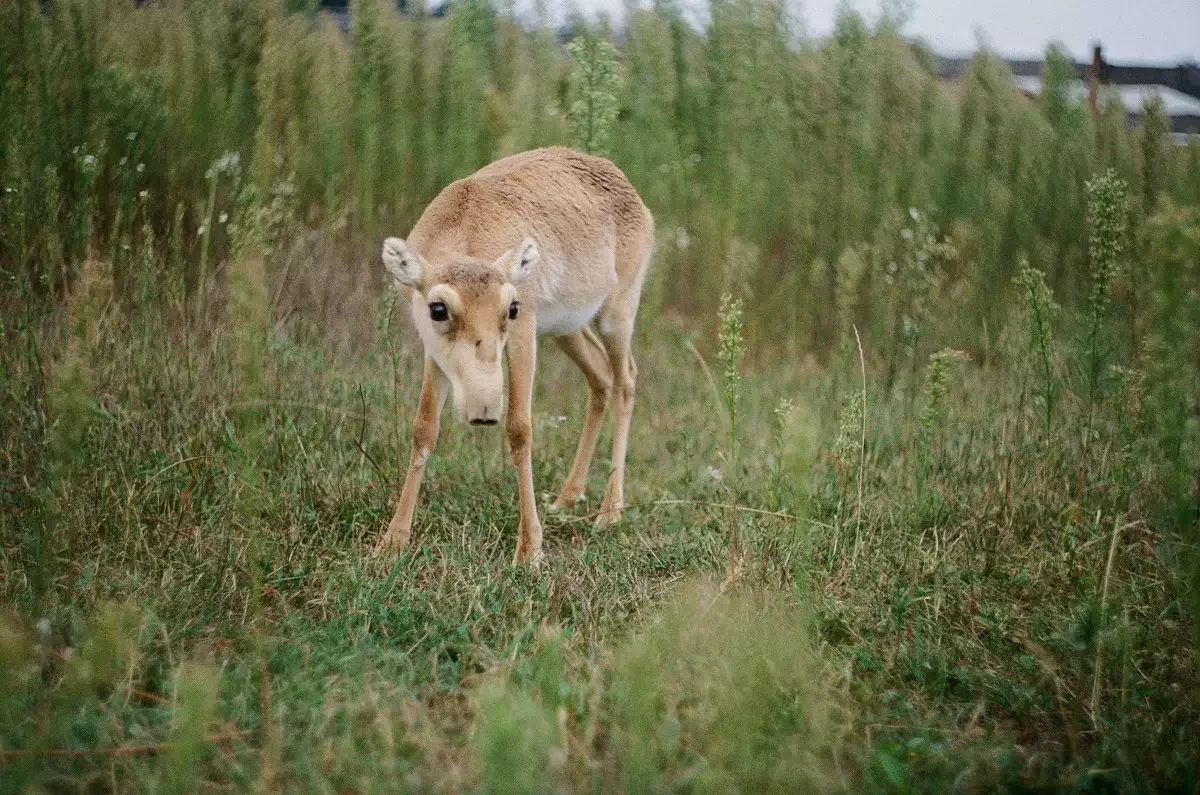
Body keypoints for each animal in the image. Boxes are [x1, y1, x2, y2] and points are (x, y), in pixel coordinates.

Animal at [374, 147, 657, 566]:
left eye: (511, 308)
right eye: (437, 309)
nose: (483, 410)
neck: (466, 226)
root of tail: (619, 177)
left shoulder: (523, 336)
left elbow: (519, 428)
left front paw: (529, 550)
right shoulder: (433, 352)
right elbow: (423, 428)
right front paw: (392, 542)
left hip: (616, 314)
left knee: (626, 381)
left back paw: (609, 512)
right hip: (566, 330)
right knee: (600, 379)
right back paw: (566, 498)